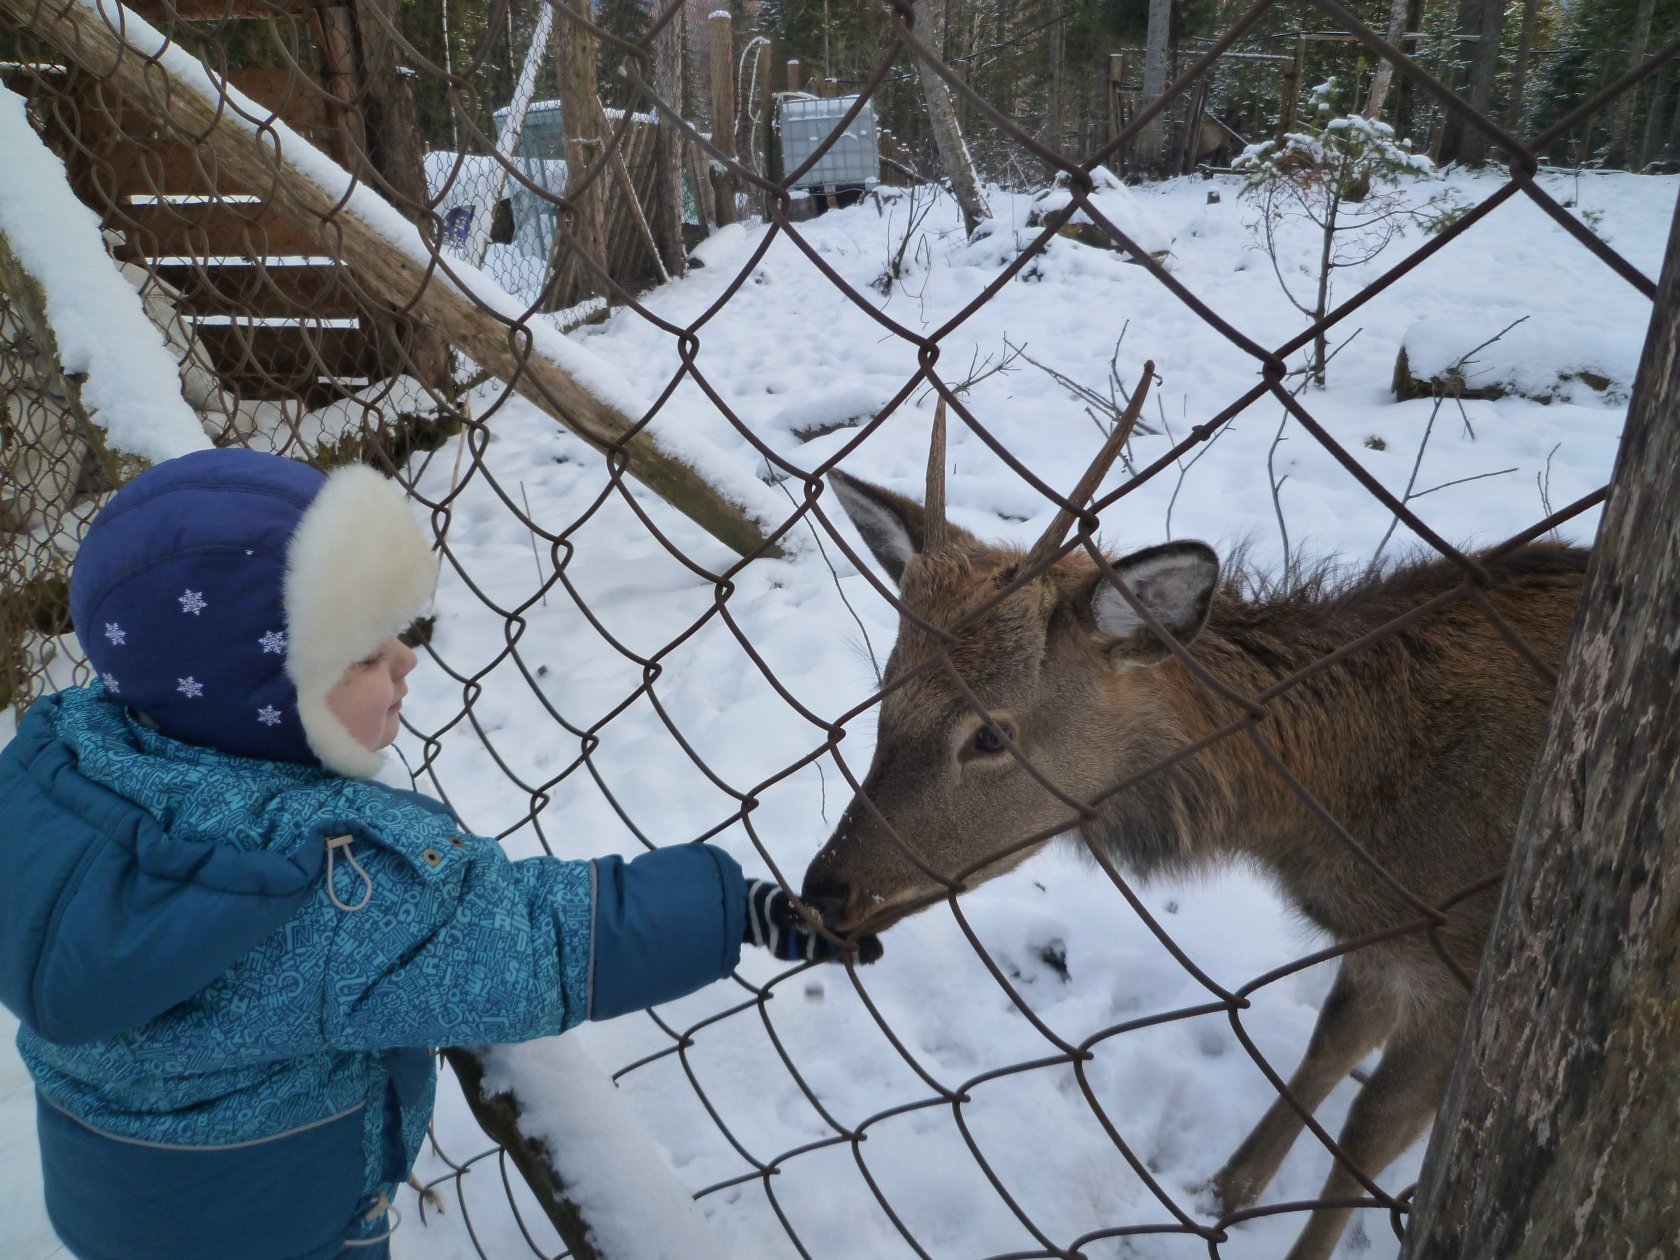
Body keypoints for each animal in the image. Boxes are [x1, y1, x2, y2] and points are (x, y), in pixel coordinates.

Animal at [799, 383, 1585, 1260]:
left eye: (992, 734)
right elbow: (1329, 1045)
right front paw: (1224, 1192)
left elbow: (1368, 1128)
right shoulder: (1391, 945)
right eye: (887, 692)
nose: (825, 890)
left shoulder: (1464, 959)